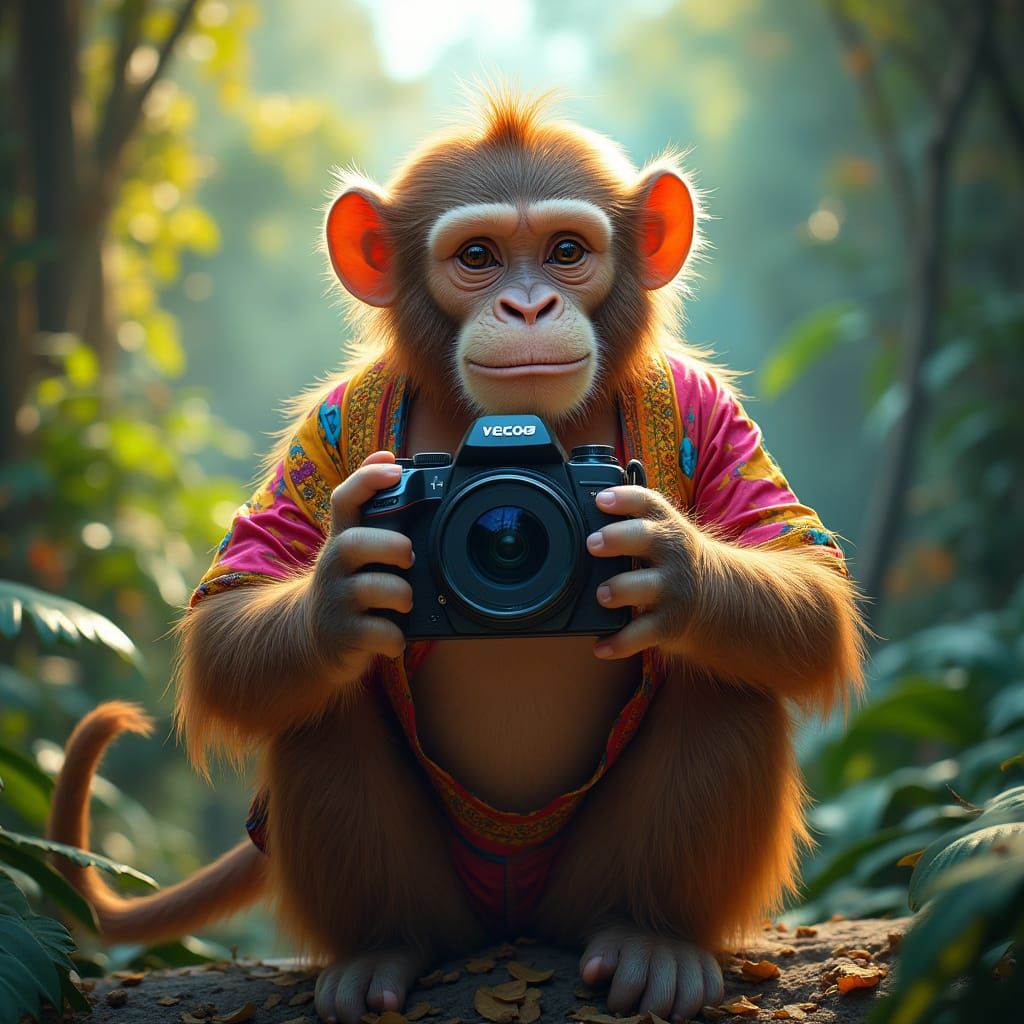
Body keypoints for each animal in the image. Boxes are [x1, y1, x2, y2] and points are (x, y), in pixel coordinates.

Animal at [49, 92, 864, 1024]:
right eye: (478, 257)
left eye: (567, 252)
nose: (528, 306)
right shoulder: (327, 423)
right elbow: (225, 624)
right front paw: (335, 601)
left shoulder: (708, 404)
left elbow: (812, 586)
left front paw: (673, 567)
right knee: (323, 704)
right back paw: (385, 950)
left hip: (574, 898)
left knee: (730, 677)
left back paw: (647, 936)